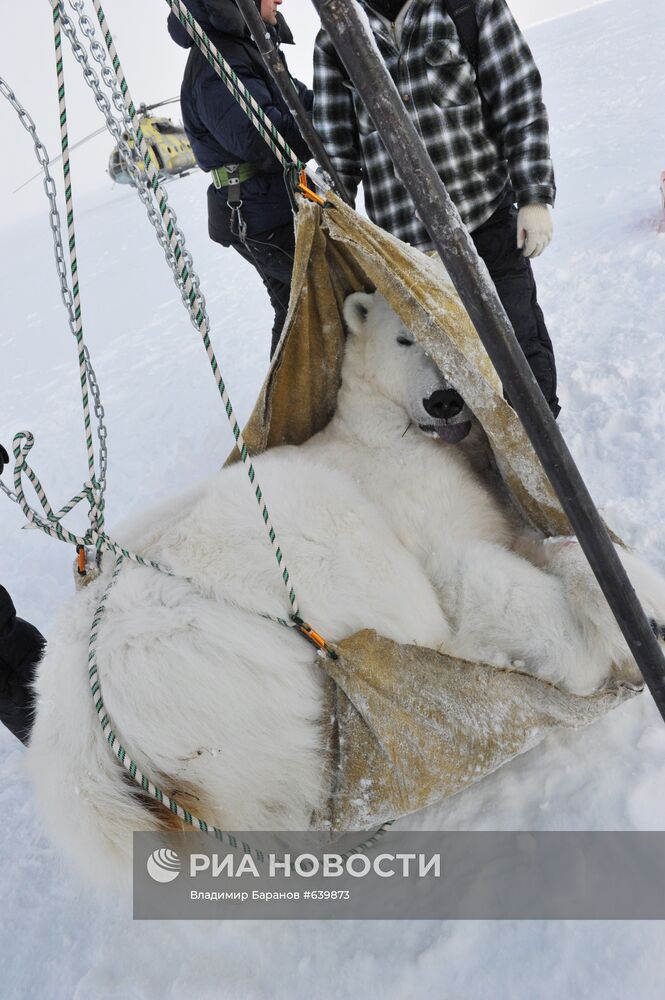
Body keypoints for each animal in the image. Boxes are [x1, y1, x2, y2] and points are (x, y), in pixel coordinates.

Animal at [26, 292, 664, 884]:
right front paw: (619, 636)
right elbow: (471, 575)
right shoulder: (407, 498)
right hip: (263, 597)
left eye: (434, 330)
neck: (391, 429)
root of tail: (91, 751)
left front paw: (638, 594)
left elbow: (533, 536)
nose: (445, 400)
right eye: (402, 339)